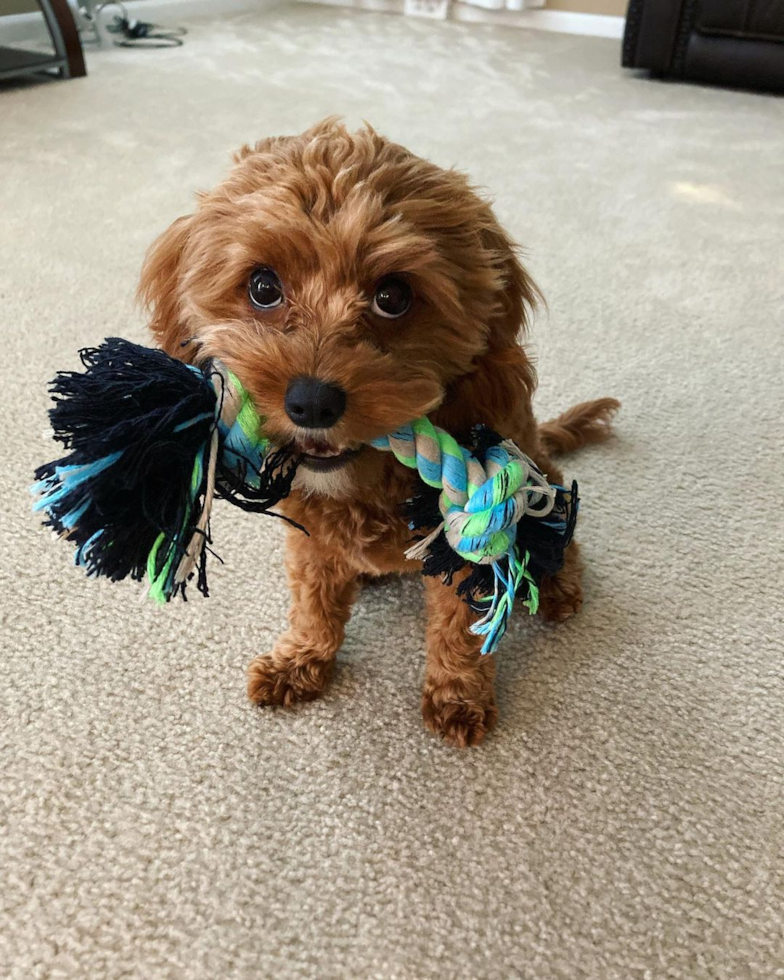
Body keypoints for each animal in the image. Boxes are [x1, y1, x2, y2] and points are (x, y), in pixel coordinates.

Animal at [141, 118, 620, 748]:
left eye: (393, 297)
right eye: (263, 287)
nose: (312, 401)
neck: (362, 487)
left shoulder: (462, 545)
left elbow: (461, 629)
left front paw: (457, 695)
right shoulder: (310, 540)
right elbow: (313, 606)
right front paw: (302, 660)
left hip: (543, 483)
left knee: (562, 540)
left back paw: (558, 585)